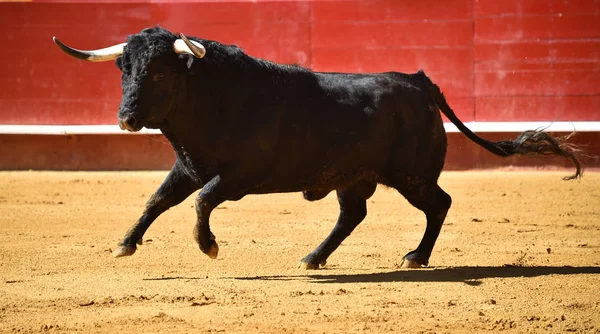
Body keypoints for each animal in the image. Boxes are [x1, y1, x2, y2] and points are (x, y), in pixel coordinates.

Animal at [52, 26, 580, 268]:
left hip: (411, 175)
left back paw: (415, 257)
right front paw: (125, 244)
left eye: (160, 73)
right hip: (355, 178)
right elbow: (158, 199)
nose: (126, 120)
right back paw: (314, 256)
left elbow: (200, 202)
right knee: (354, 214)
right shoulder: (189, 166)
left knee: (440, 202)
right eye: (123, 69)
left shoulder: (238, 176)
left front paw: (209, 246)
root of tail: (418, 82)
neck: (213, 97)